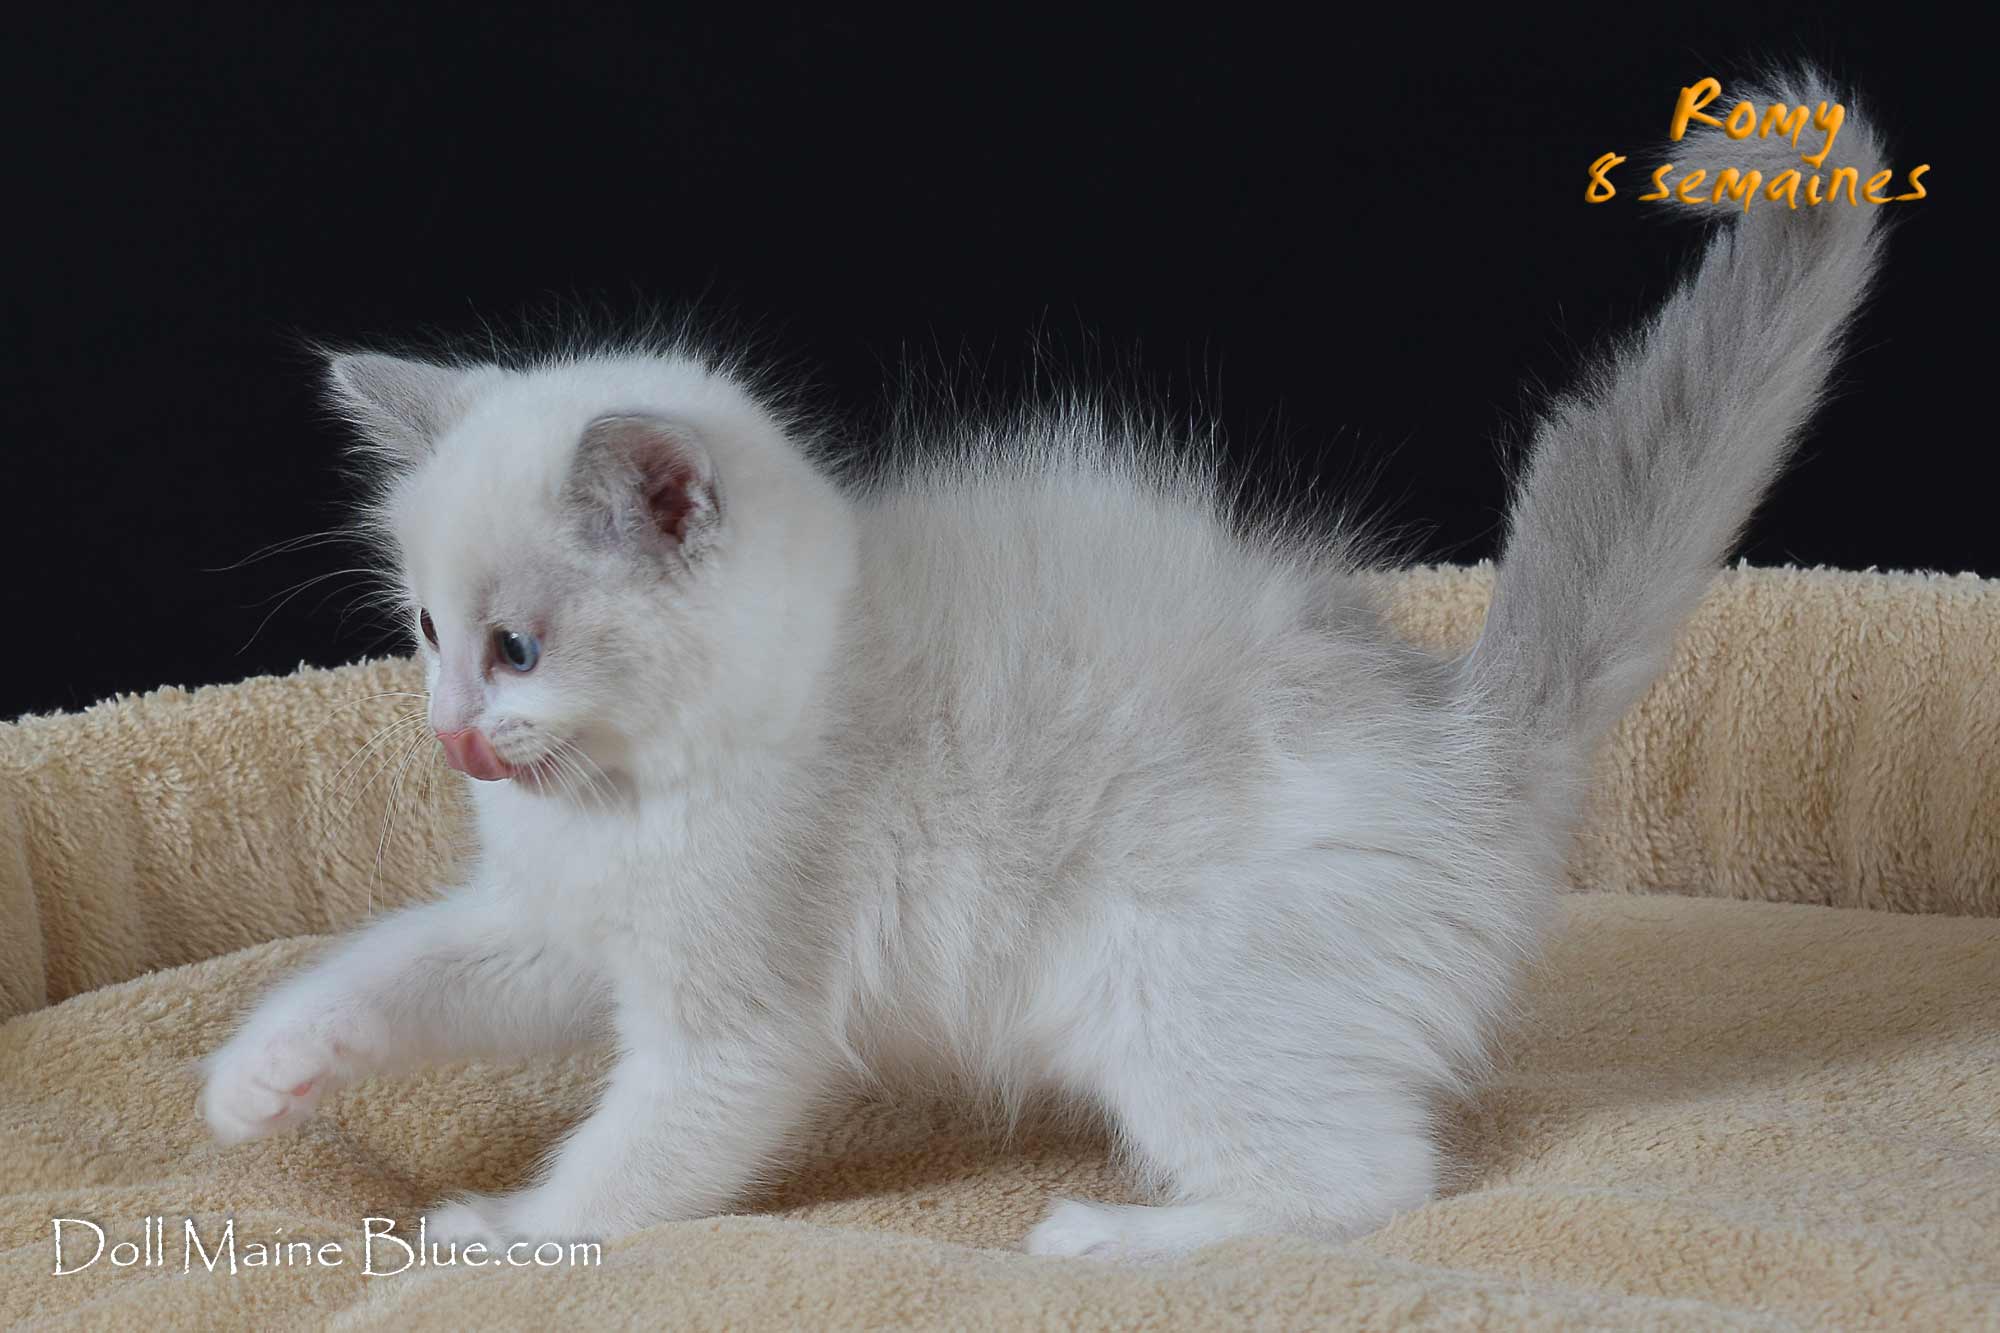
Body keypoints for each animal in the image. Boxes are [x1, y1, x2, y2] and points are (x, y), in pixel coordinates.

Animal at [201, 73, 1889, 1260]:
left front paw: (500, 1229)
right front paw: (258, 1078)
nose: (450, 733)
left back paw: (1113, 1237)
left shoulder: (733, 1020)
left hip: (1169, 989)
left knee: (1371, 1183)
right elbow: (397, 968)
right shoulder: (550, 929)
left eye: (519, 646)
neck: (651, 782)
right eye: (425, 633)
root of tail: (1475, 724)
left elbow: (631, 1163)